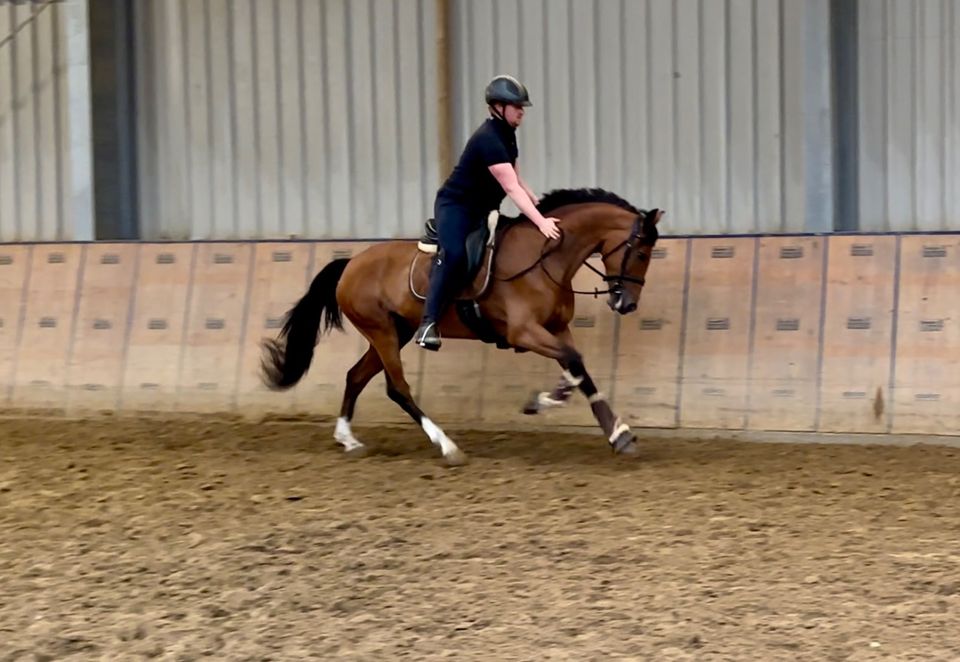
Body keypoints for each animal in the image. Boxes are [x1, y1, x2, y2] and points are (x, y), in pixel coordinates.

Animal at [262, 188, 668, 466]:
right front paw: (544, 401)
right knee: (397, 387)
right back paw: (448, 446)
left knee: (356, 376)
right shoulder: (524, 331)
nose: (627, 304)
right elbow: (574, 362)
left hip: (396, 331)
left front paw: (617, 433)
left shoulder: (556, 328)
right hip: (382, 332)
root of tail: (350, 263)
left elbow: (578, 367)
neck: (543, 259)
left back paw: (348, 439)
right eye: (641, 252)